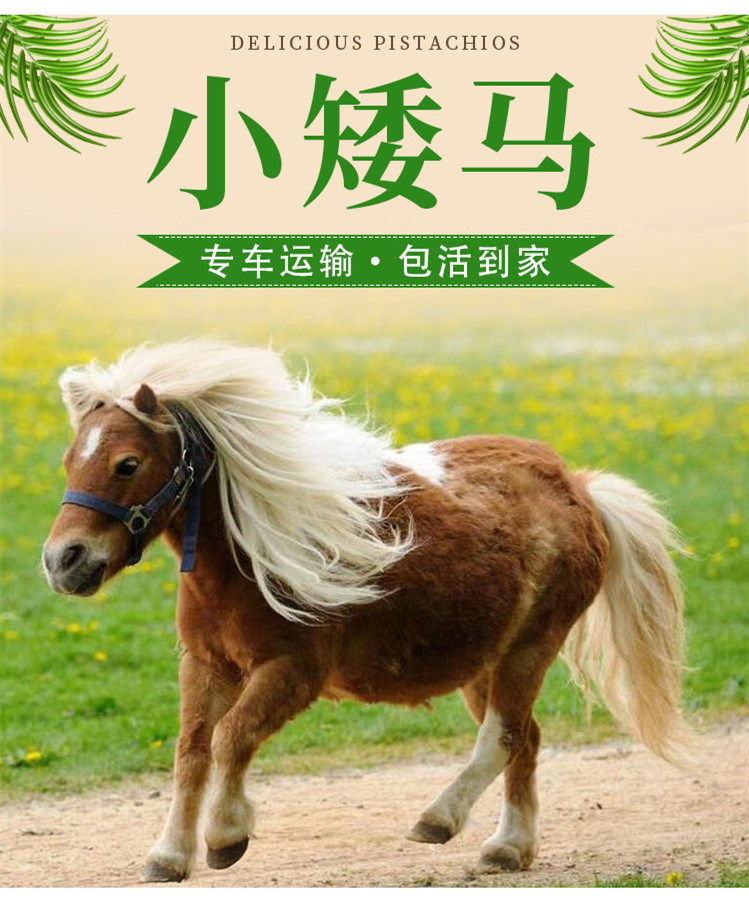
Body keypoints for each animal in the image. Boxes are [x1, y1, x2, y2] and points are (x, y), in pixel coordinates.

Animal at [42, 339, 690, 883]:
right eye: (70, 458)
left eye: (127, 463)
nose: (62, 560)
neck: (246, 556)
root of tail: (579, 487)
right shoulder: (204, 665)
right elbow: (192, 751)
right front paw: (170, 855)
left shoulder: (293, 671)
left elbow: (232, 738)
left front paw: (227, 836)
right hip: (485, 663)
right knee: (525, 738)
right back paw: (510, 848)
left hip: (532, 647)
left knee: (502, 737)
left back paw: (440, 820)